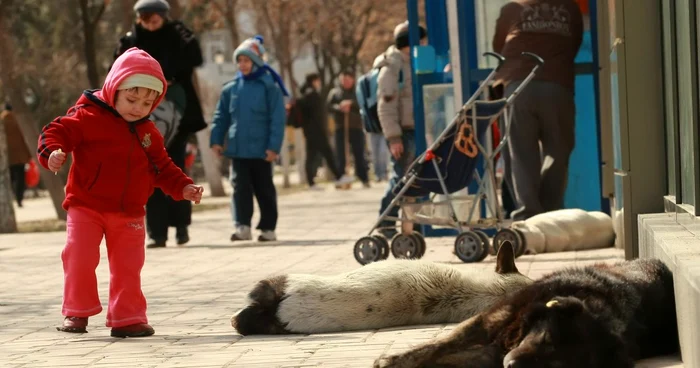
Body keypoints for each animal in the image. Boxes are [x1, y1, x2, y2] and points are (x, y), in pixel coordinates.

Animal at [378, 258, 680, 368]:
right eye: (546, 339)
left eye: (557, 367)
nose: (511, 366)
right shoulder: (491, 319)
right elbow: (438, 345)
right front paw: (392, 359)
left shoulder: (492, 351)